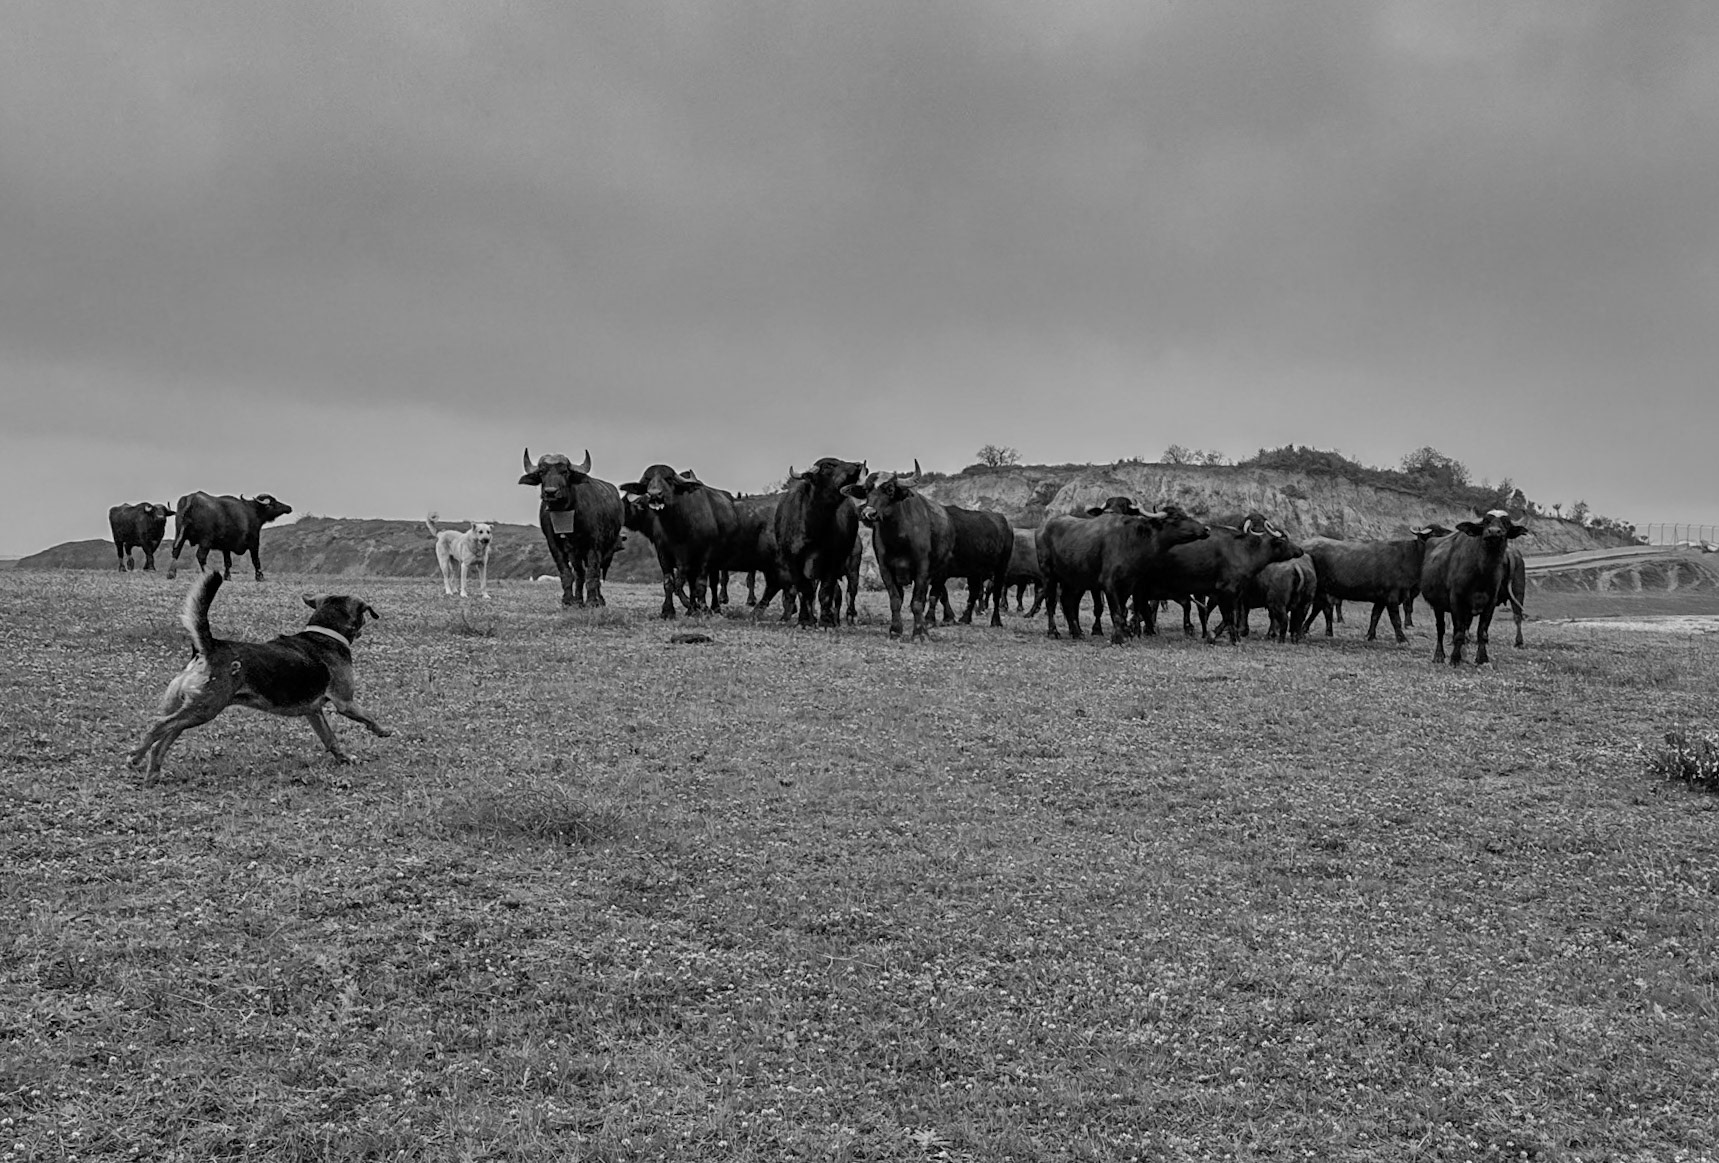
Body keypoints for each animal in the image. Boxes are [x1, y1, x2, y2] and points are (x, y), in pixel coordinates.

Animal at [520, 449, 625, 607]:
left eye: (564, 471)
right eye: (542, 472)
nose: (550, 492)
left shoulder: (593, 545)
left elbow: (592, 573)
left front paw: (592, 601)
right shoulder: (555, 544)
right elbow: (567, 572)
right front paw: (568, 600)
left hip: (607, 549)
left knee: (596, 572)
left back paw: (599, 599)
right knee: (580, 573)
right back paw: (579, 600)